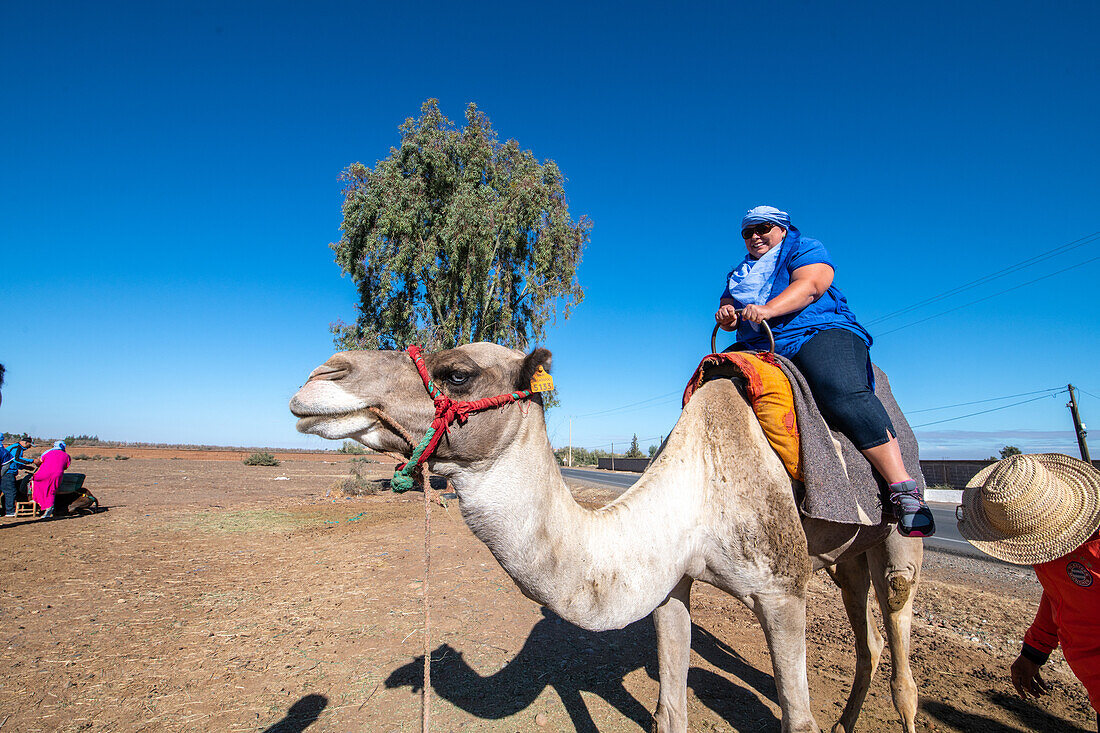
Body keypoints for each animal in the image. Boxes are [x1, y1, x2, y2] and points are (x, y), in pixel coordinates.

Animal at [288, 343, 924, 730]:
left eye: (458, 373)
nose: (323, 374)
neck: (699, 484)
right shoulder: (671, 582)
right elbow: (670, 711)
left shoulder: (781, 589)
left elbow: (796, 716)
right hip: (845, 556)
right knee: (865, 630)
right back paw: (846, 721)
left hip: (896, 537)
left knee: (897, 626)